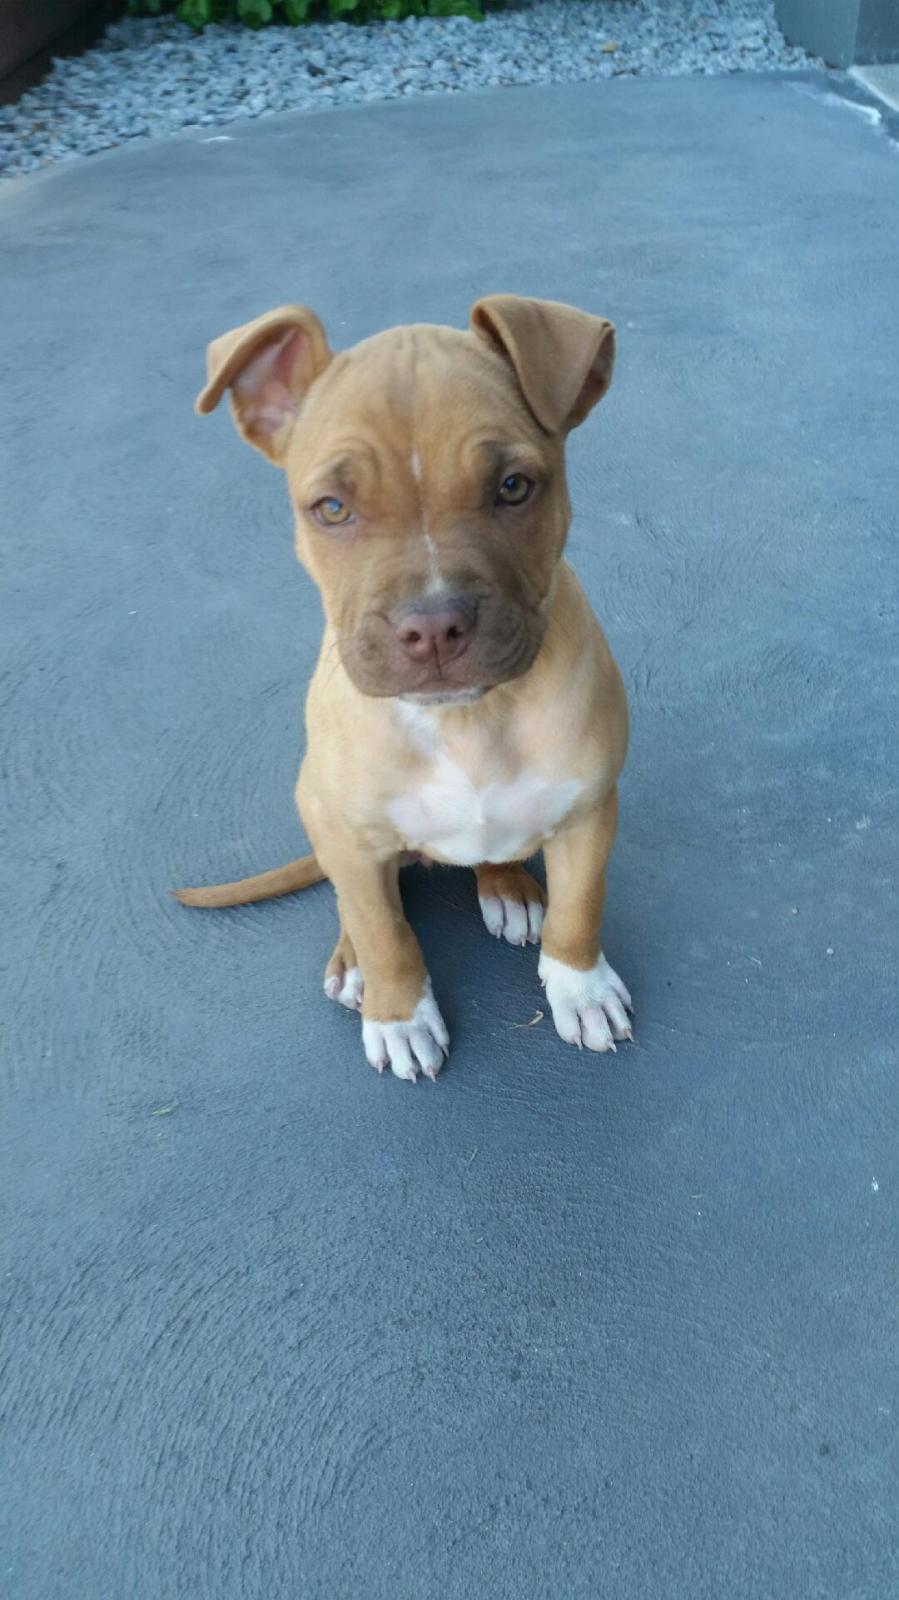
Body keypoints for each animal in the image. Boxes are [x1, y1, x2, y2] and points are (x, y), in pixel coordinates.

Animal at [176, 295, 633, 1080]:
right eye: (331, 508)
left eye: (513, 487)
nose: (433, 626)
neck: (468, 723)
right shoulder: (347, 836)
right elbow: (384, 929)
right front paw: (397, 1015)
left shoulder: (589, 813)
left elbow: (580, 910)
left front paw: (581, 987)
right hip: (320, 809)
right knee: (354, 905)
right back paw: (353, 964)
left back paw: (509, 888)